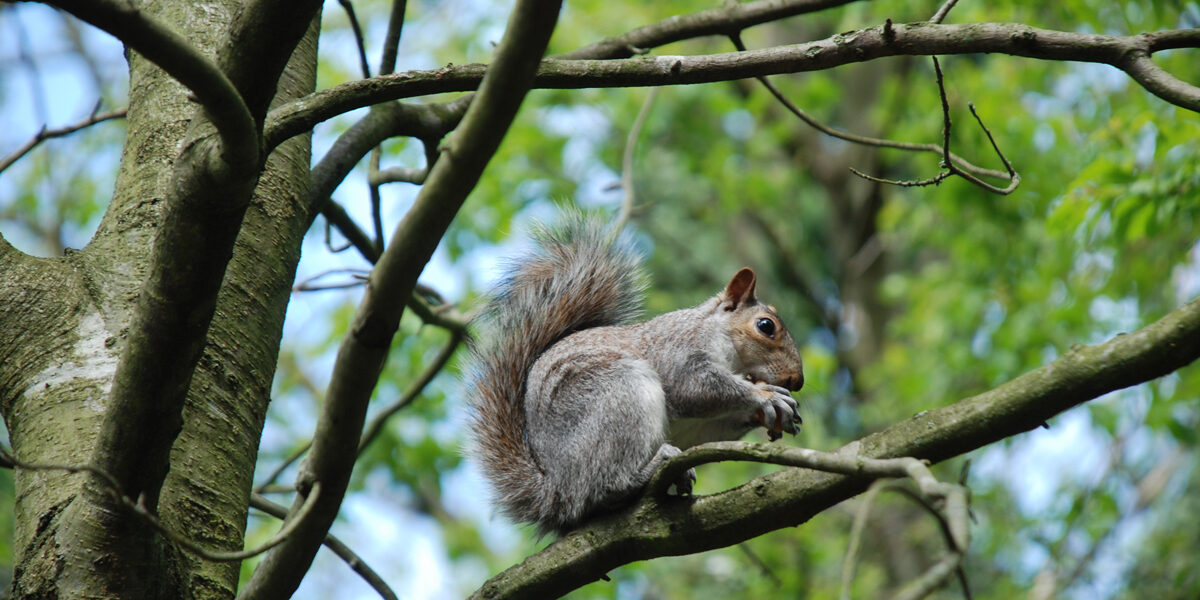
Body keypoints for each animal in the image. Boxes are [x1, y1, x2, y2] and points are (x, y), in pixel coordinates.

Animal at [465, 218, 804, 536]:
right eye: (765, 326)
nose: (796, 381)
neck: (725, 345)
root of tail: (557, 489)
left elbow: (710, 427)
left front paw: (767, 411)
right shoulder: (678, 352)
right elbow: (694, 389)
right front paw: (765, 396)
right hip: (621, 395)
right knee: (605, 486)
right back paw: (654, 464)